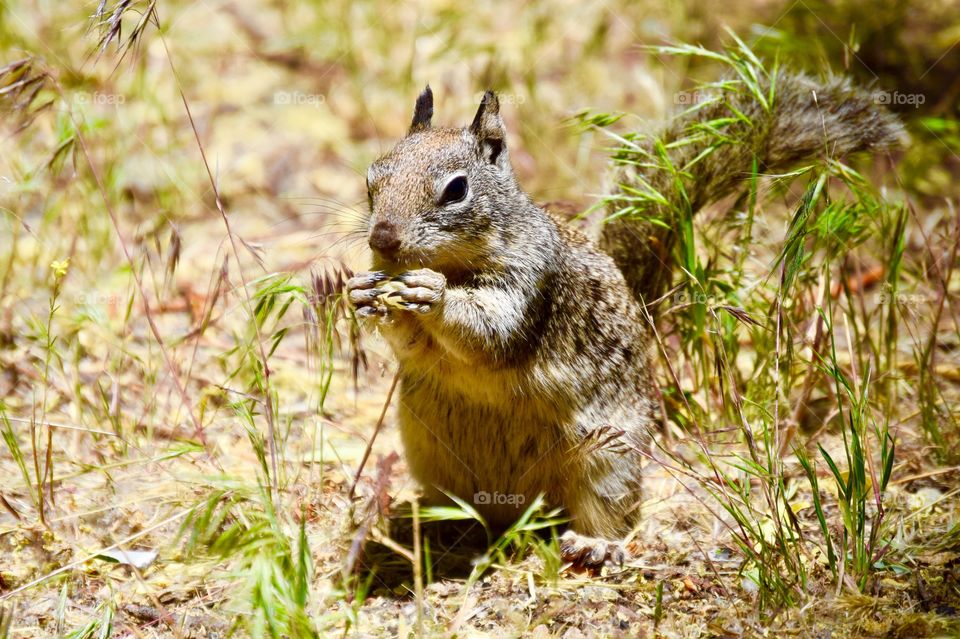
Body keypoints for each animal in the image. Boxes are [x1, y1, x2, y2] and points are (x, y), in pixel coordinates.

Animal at [346, 71, 901, 566]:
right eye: (372, 179)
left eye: (457, 190)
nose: (383, 239)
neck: (456, 264)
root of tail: (516, 513)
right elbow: (412, 345)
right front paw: (361, 293)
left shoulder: (532, 283)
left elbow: (491, 333)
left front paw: (431, 292)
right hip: (431, 455)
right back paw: (441, 531)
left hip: (606, 458)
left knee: (609, 512)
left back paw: (594, 545)